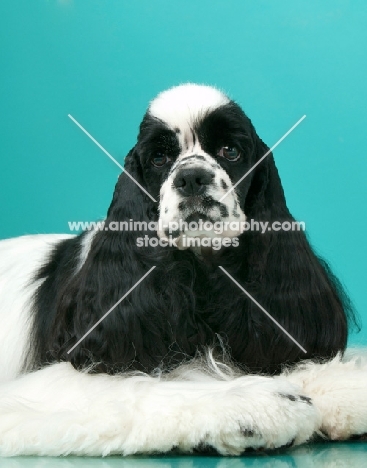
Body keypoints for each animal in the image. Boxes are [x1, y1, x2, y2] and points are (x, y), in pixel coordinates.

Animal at [0, 82, 366, 456]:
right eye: (159, 158)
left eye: (230, 150)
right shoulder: (49, 384)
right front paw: (256, 404)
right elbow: (139, 386)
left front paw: (345, 385)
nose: (192, 177)